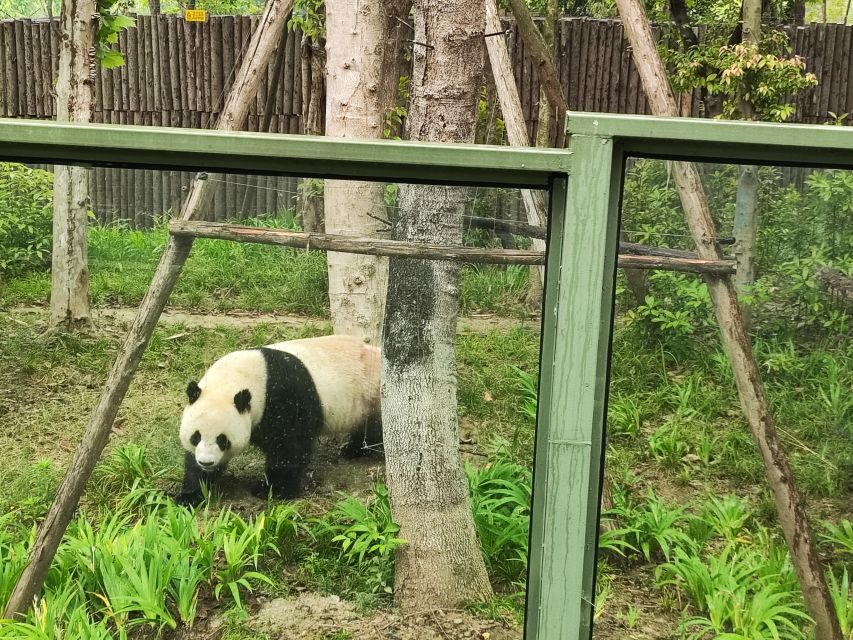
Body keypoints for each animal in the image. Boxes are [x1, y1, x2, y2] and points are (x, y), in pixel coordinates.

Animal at [176, 336, 380, 504]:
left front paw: (272, 490)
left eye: (222, 440)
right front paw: (190, 494)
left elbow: (289, 447)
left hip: (372, 396)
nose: (206, 463)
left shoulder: (285, 398)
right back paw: (352, 450)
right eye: (196, 437)